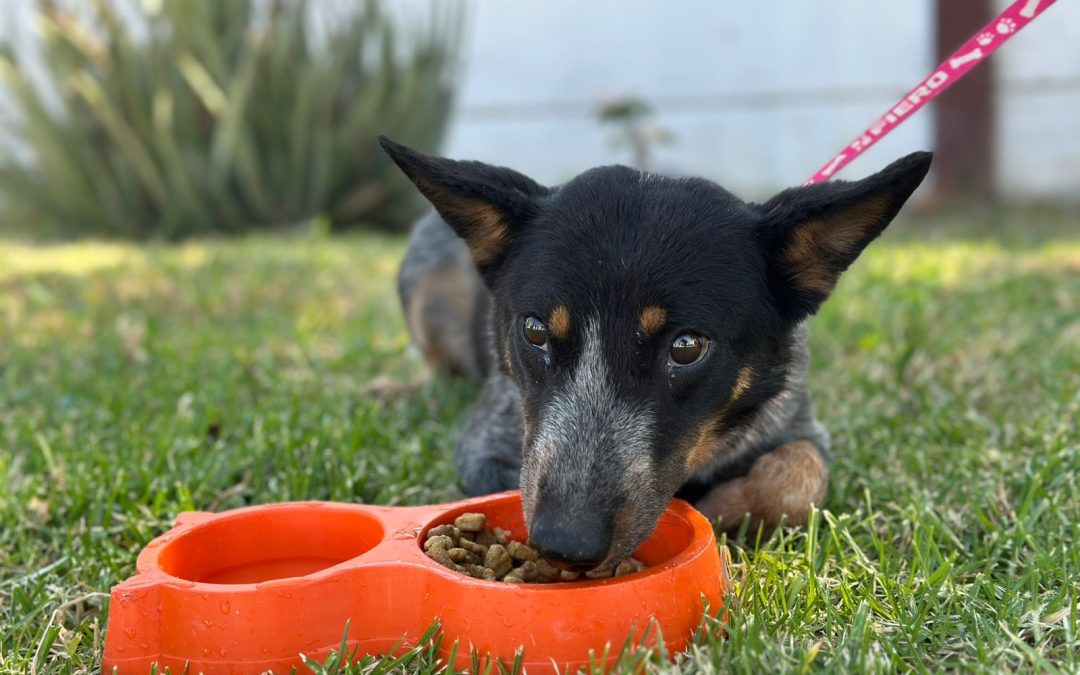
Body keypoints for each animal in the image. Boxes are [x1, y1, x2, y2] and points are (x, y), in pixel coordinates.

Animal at [382, 138, 928, 574]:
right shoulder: (487, 444)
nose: (564, 542)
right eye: (535, 331)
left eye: (686, 347)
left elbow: (800, 474)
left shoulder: (800, 423)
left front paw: (727, 507)